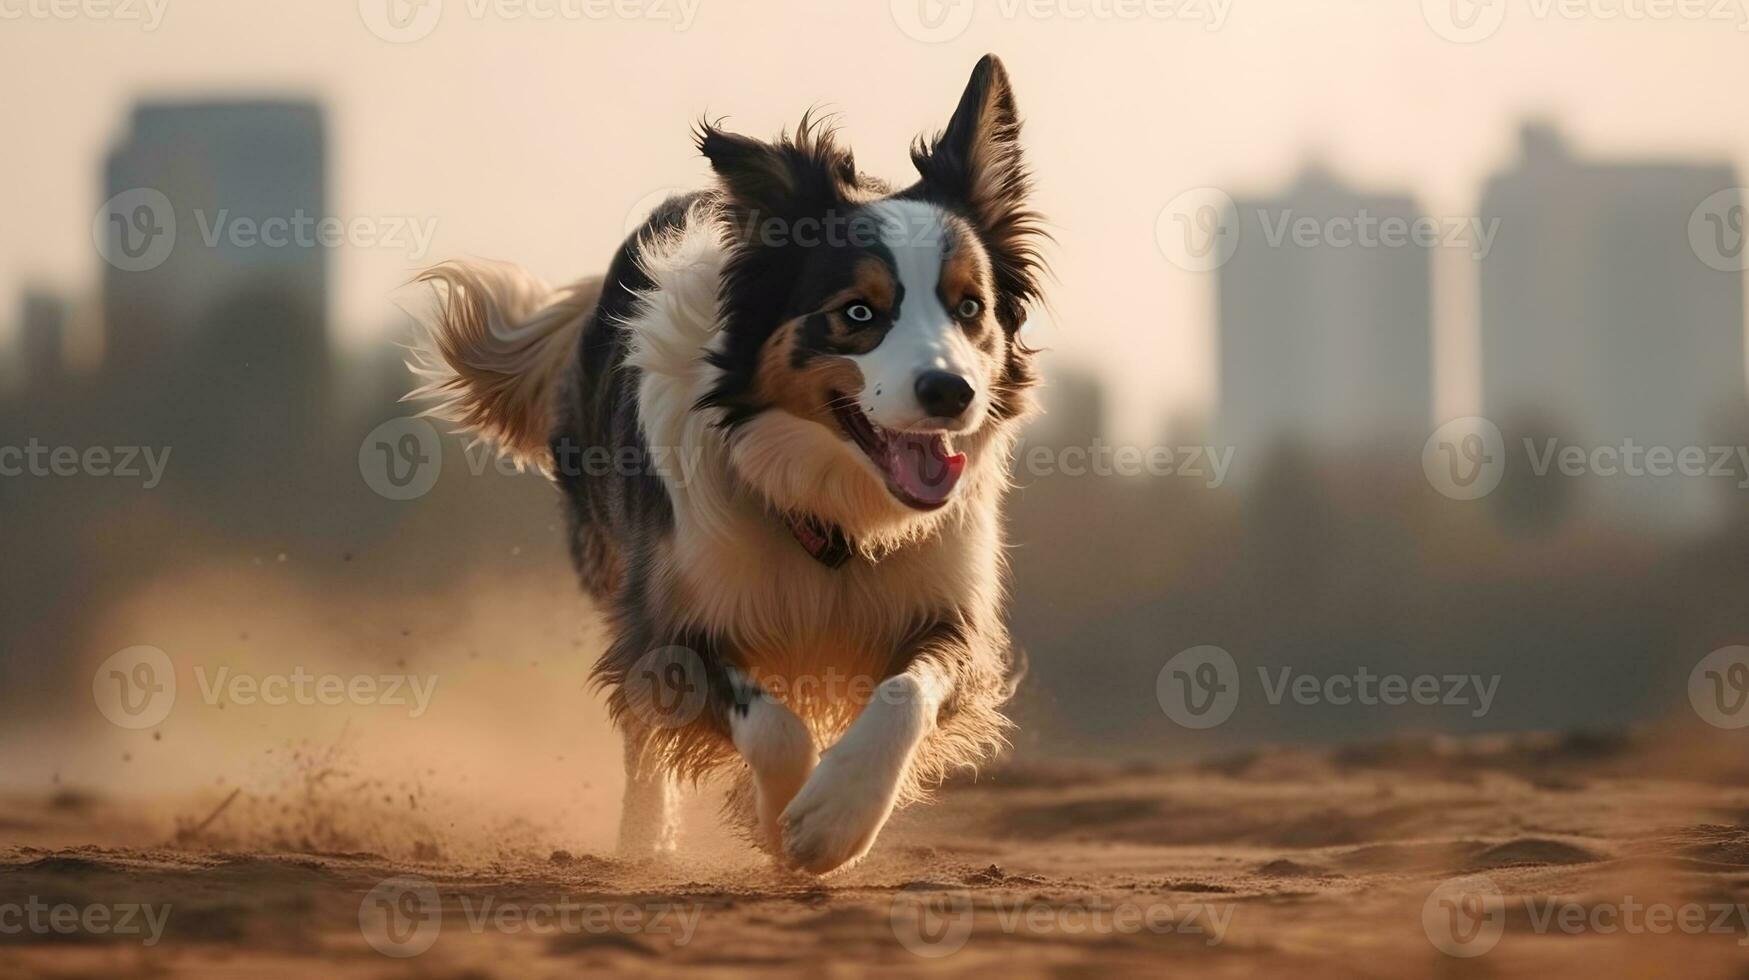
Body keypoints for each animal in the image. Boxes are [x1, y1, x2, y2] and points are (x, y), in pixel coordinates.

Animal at [405, 57, 1035, 875]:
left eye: (969, 307)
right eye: (858, 313)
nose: (951, 393)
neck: (825, 504)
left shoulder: (945, 610)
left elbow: (904, 694)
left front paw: (836, 816)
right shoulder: (666, 620)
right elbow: (770, 727)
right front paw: (779, 820)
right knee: (643, 741)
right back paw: (644, 842)